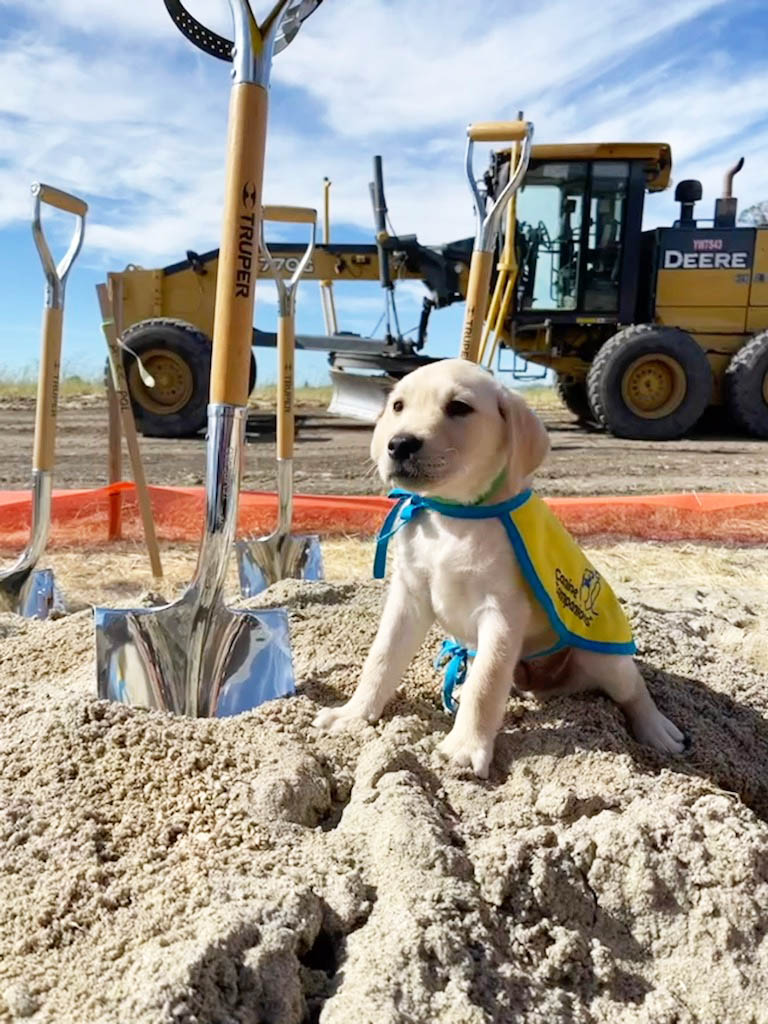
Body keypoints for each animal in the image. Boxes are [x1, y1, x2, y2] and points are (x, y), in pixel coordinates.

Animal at [315, 360, 688, 774]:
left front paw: (464, 747)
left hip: (601, 656)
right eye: (397, 406)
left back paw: (658, 730)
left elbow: (486, 685)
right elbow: (380, 659)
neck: (453, 517)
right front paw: (352, 715)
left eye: (459, 407)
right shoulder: (408, 596)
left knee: (633, 688)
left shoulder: (503, 611)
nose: (399, 444)